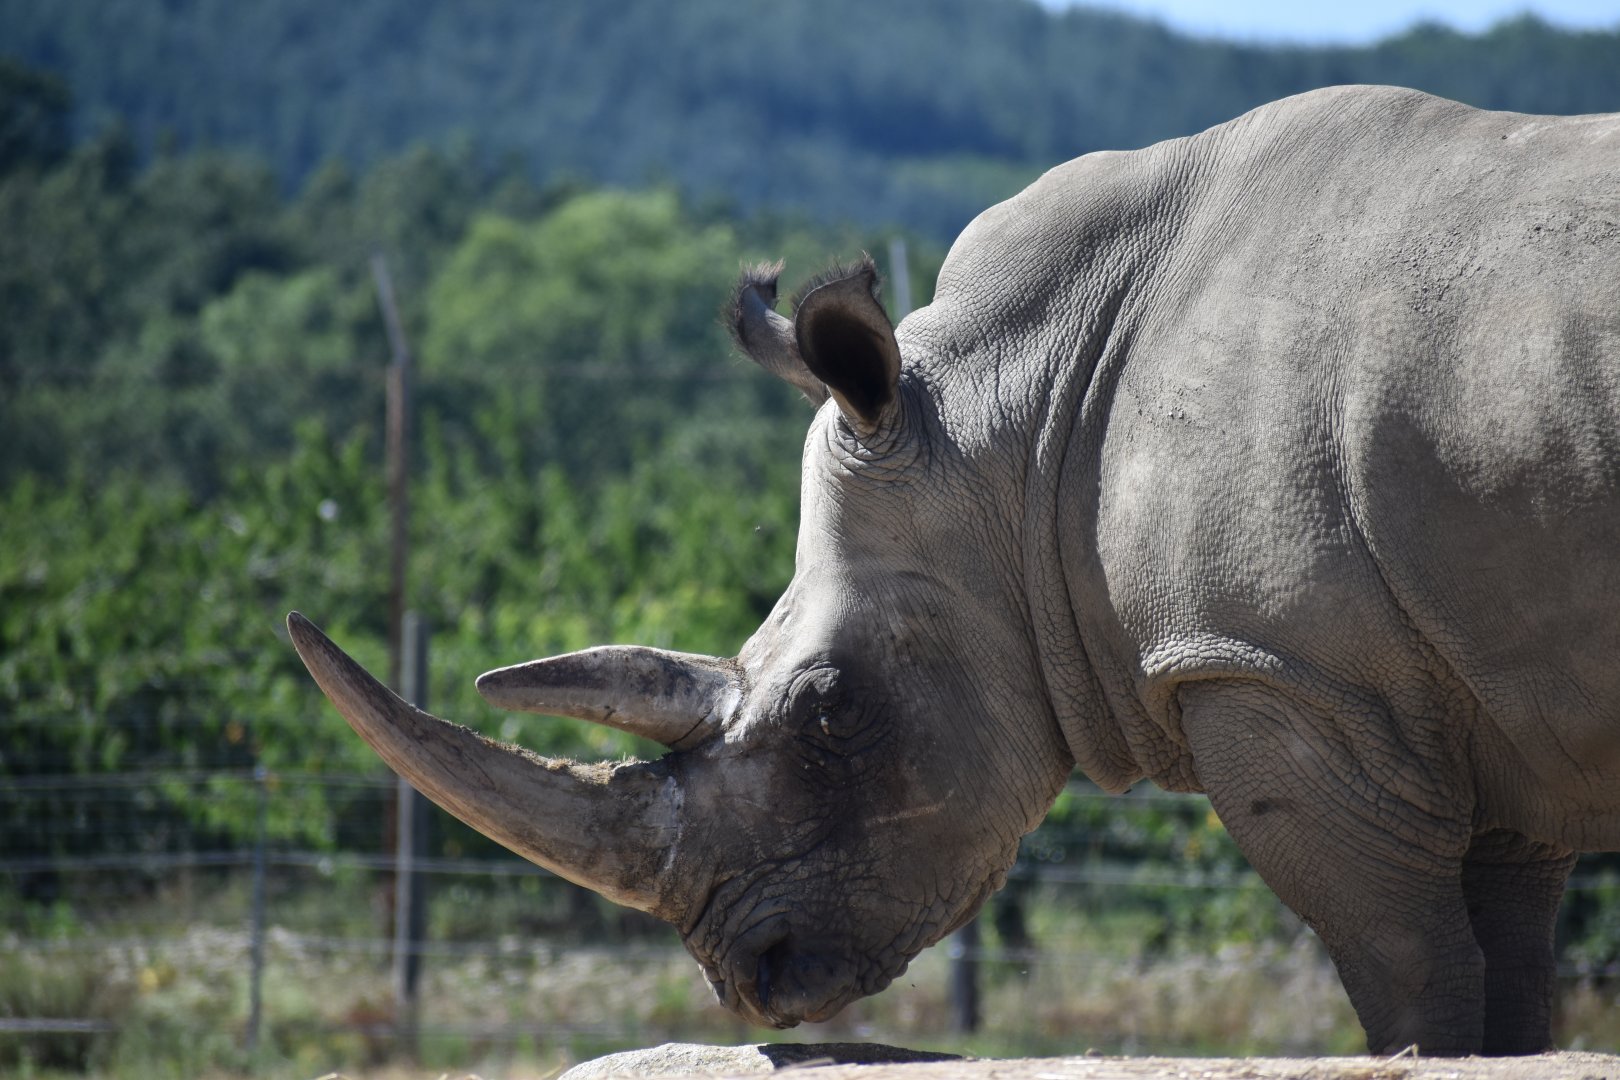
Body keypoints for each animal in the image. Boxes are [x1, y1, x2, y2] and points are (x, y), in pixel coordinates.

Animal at [287, 84, 1620, 1056]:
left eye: (829, 711)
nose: (747, 978)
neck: (1013, 421)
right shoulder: (1484, 700)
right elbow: (1509, 989)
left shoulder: (1276, 669)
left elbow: (1412, 978)